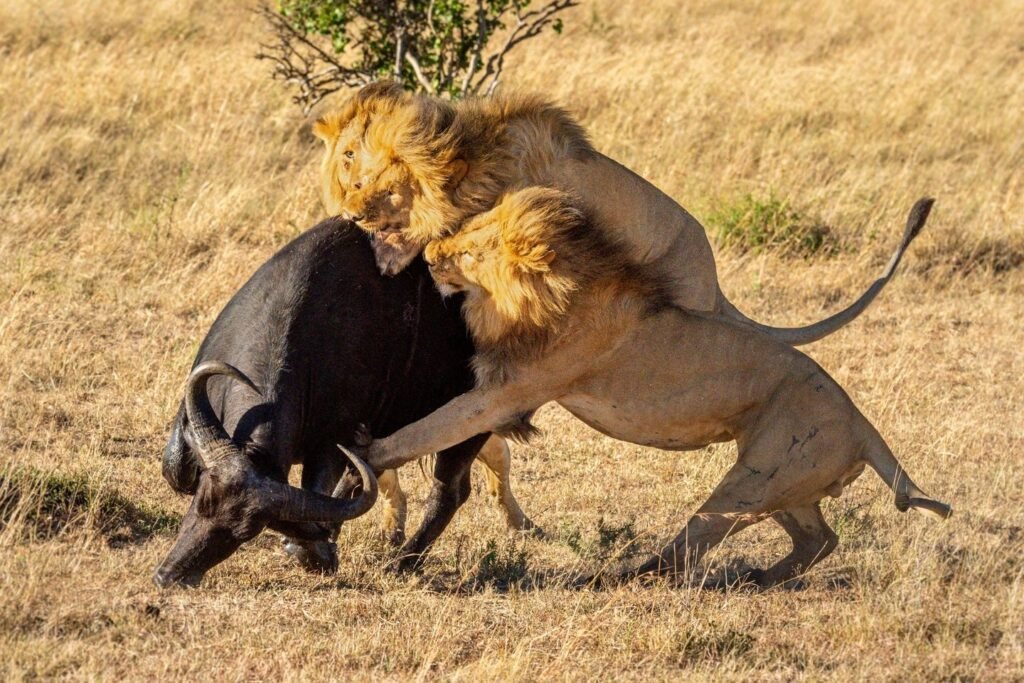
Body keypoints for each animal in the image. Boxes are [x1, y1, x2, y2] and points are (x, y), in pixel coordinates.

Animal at [345, 189, 950, 587]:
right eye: (468, 230)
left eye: (470, 250)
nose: (429, 256)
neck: (562, 287)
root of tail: (863, 425)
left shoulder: (509, 392)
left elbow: (427, 429)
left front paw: (367, 452)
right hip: (783, 482)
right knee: (819, 538)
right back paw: (762, 577)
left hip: (754, 480)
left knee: (694, 545)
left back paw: (625, 576)